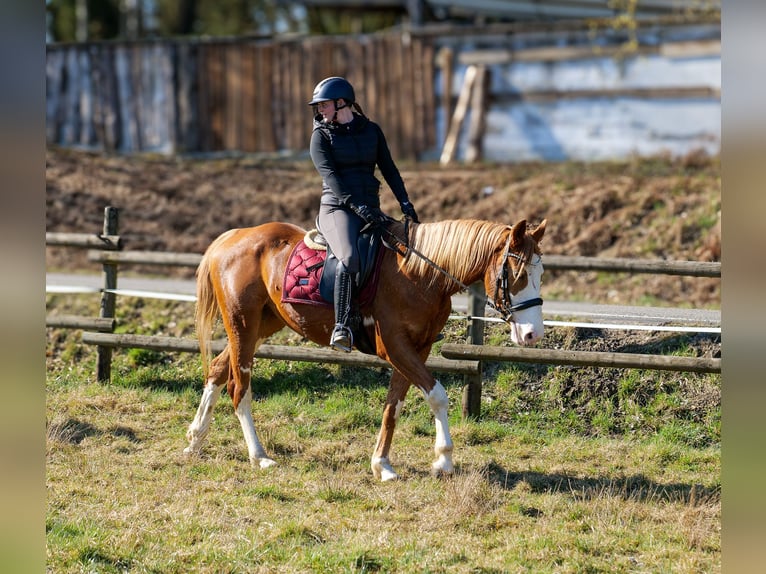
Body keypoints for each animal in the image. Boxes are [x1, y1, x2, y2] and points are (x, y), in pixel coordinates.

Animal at [184, 218, 548, 484]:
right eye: (517, 273)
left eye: (541, 273)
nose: (533, 334)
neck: (419, 275)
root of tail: (233, 237)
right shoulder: (396, 348)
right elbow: (437, 396)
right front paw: (443, 459)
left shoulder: (417, 349)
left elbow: (393, 406)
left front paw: (381, 464)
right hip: (243, 326)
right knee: (239, 388)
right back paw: (259, 456)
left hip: (262, 326)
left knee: (218, 370)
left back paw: (195, 440)